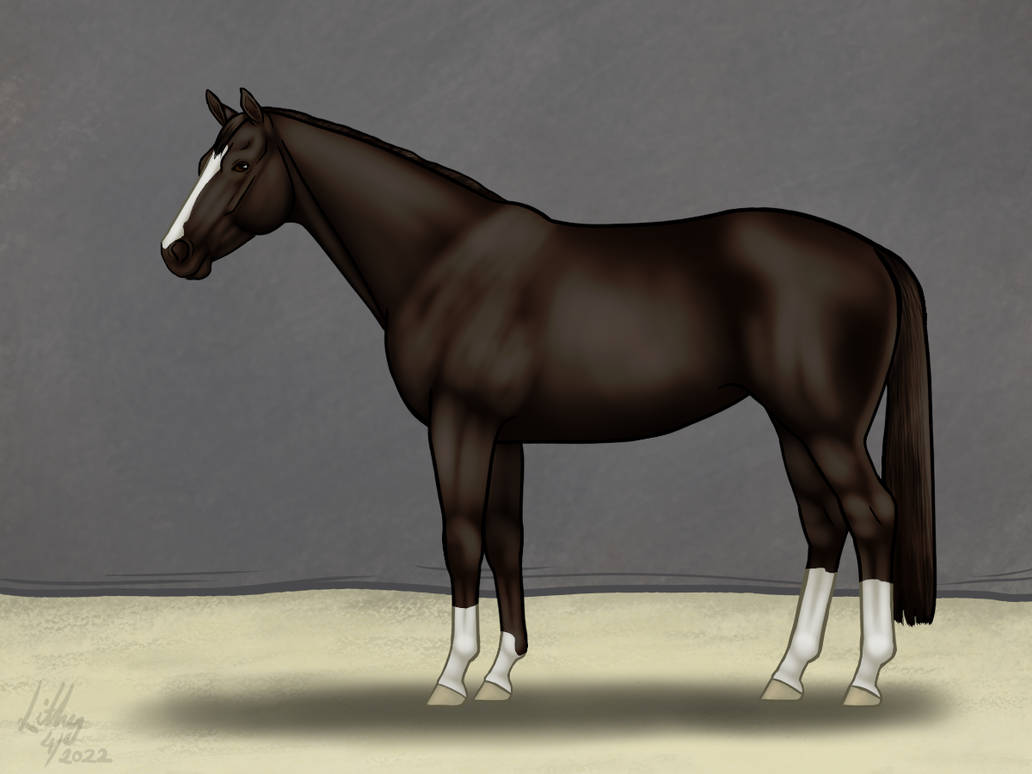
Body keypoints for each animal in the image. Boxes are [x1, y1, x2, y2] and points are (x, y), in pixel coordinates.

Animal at [160, 88, 935, 707]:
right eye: (202, 162)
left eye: (240, 165)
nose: (175, 253)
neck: (447, 264)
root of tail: (872, 253)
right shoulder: (503, 433)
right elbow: (506, 539)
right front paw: (501, 674)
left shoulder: (460, 421)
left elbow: (460, 537)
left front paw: (451, 678)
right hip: (792, 424)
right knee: (823, 526)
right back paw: (787, 674)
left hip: (826, 425)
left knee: (871, 514)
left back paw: (865, 679)